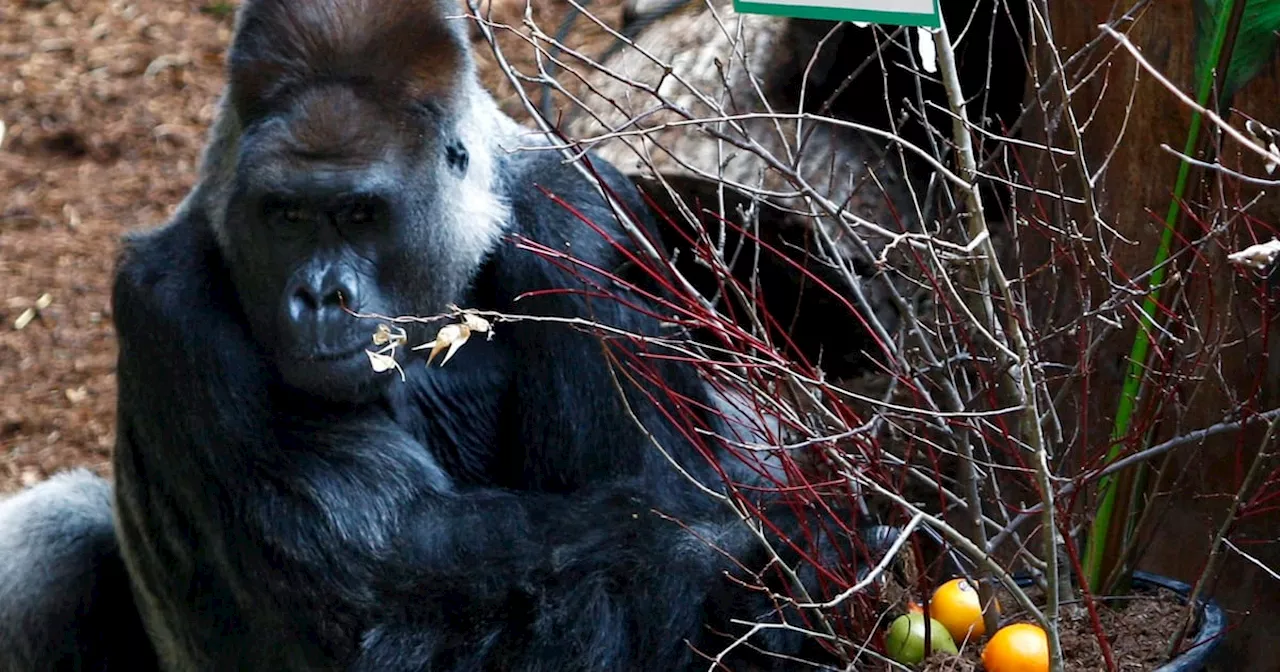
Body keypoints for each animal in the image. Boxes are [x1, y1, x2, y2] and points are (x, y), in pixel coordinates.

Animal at [0, 2, 870, 665]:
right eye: (284, 215)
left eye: (360, 213)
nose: (320, 295)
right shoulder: (171, 298)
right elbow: (387, 574)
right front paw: (771, 553)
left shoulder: (584, 226)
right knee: (54, 542)